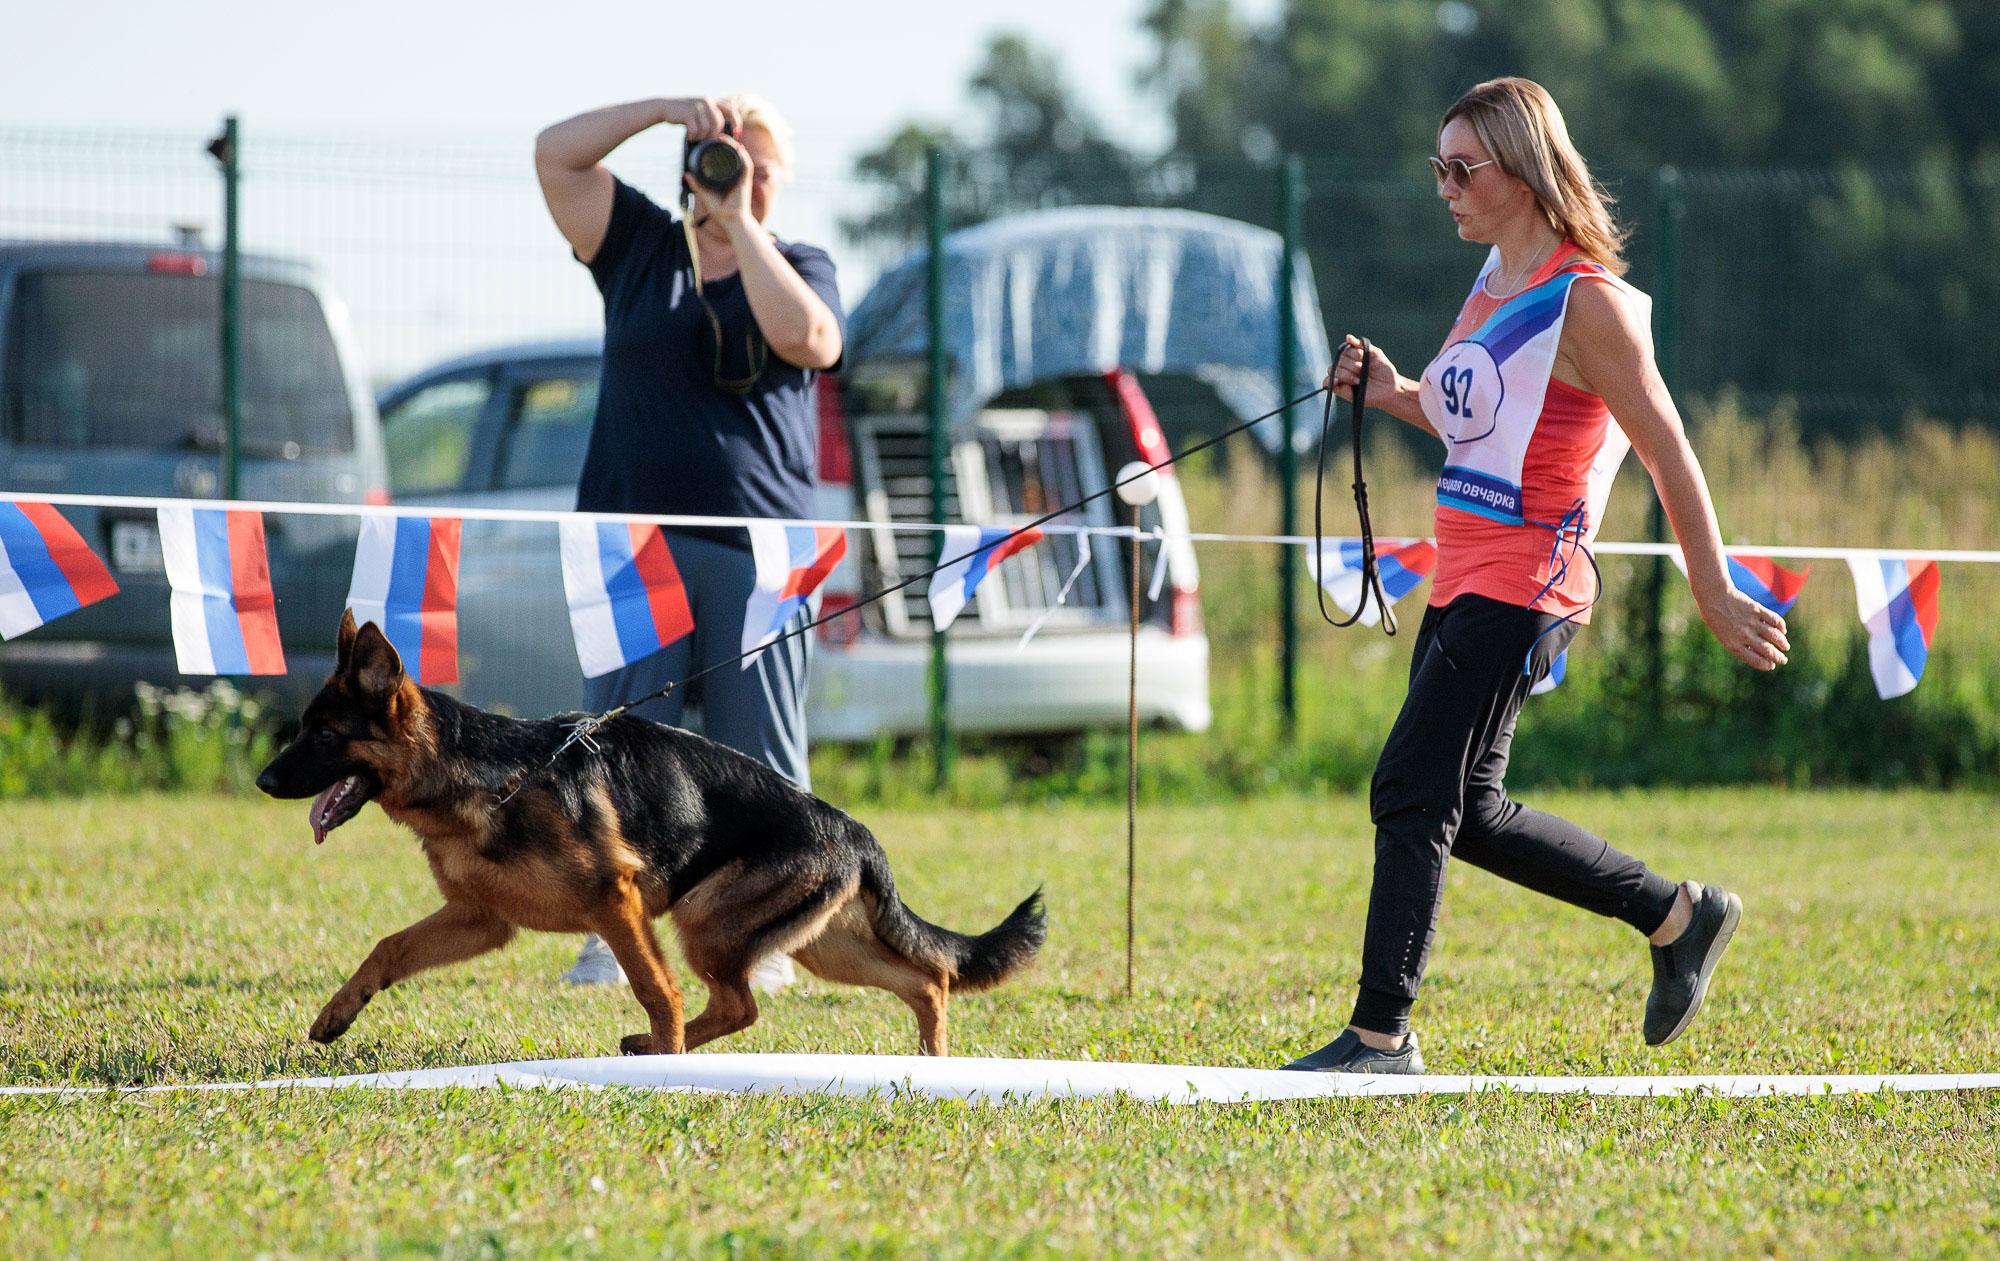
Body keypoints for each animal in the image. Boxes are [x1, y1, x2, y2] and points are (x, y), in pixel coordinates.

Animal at [255, 611, 1046, 1057]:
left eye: (322, 735)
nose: (263, 780)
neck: (487, 773)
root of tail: (856, 832)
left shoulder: (618, 903)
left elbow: (654, 988)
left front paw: (669, 1060)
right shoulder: (481, 919)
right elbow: (387, 947)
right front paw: (336, 1015)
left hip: (709, 921)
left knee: (741, 1004)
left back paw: (662, 1050)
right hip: (820, 945)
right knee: (928, 978)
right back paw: (930, 1059)